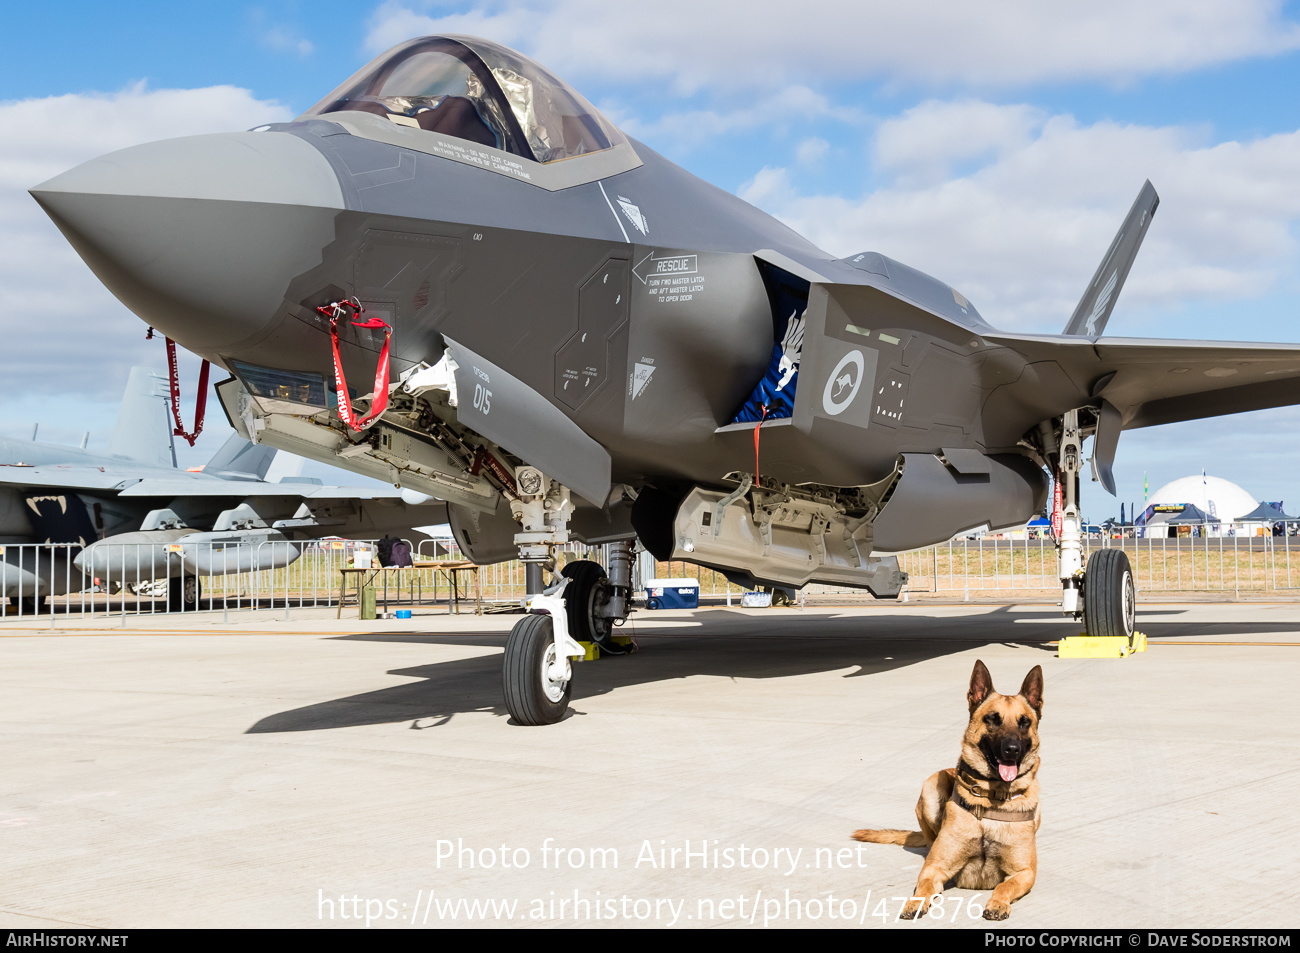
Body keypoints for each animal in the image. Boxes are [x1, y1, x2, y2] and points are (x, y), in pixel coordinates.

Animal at [852, 657, 1045, 920]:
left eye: (1025, 722)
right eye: (993, 719)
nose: (1012, 750)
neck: (992, 796)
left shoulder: (1024, 872)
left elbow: (1005, 886)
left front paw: (997, 903)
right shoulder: (934, 868)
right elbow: (924, 885)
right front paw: (915, 902)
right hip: (931, 786)